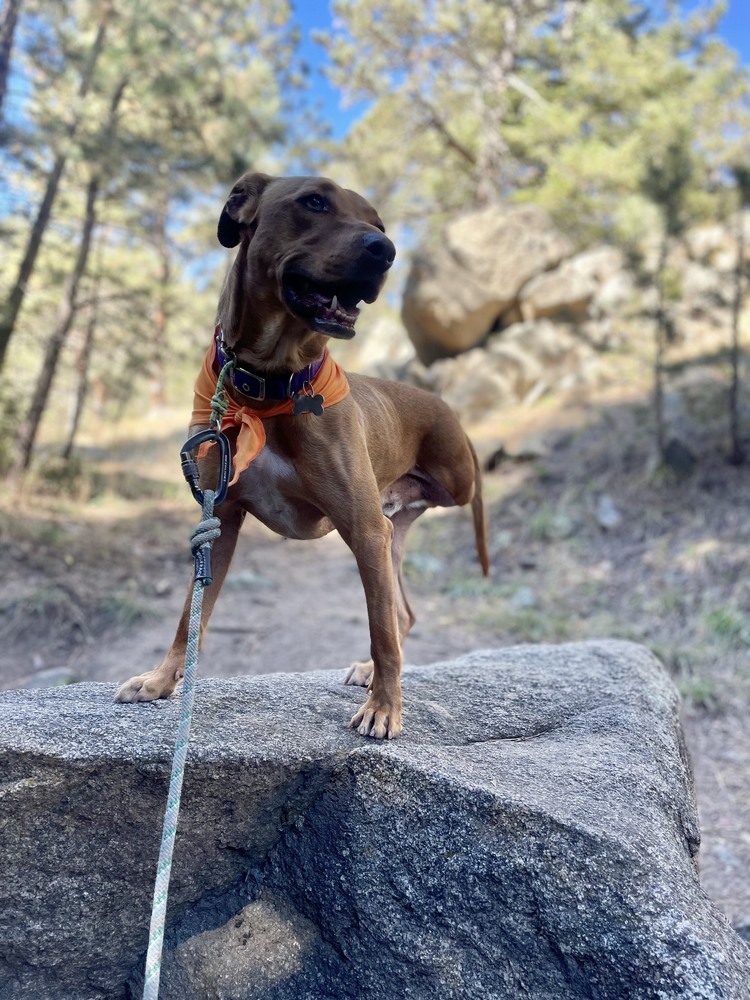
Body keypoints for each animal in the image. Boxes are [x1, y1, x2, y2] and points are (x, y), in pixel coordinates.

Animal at [117, 172, 490, 740]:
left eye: (379, 224)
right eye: (314, 201)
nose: (386, 250)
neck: (268, 386)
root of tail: (439, 403)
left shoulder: (363, 528)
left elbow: (379, 629)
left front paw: (385, 709)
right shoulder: (220, 519)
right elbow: (190, 616)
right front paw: (161, 680)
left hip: (444, 487)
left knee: (400, 607)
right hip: (393, 533)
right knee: (402, 613)